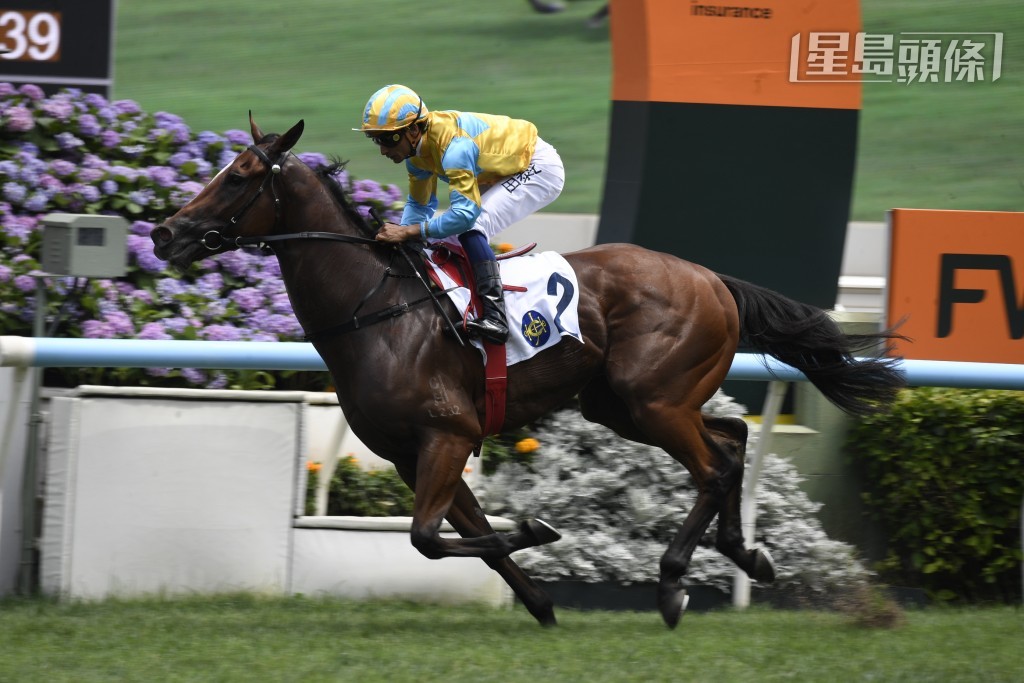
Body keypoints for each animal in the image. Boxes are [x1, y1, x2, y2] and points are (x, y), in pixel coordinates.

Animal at [151, 115, 906, 628]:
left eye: (240, 176)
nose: (165, 233)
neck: (375, 312)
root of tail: (711, 278)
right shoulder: (411, 453)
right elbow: (463, 539)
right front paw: (541, 601)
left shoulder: (448, 434)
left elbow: (429, 539)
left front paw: (540, 532)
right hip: (625, 405)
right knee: (732, 438)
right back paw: (747, 555)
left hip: (653, 400)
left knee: (715, 465)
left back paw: (671, 583)